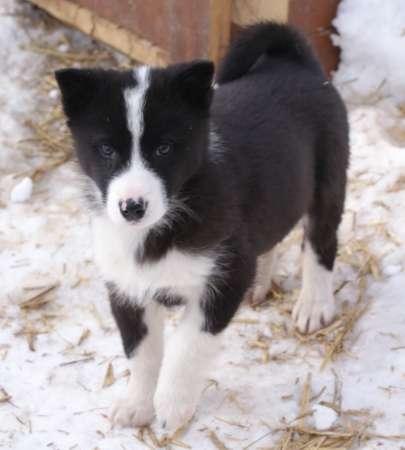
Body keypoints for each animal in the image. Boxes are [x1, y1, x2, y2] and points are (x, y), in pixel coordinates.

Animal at [56, 22, 348, 430]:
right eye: (107, 150)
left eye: (164, 149)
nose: (132, 207)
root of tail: (295, 62)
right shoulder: (126, 288)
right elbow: (141, 352)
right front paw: (137, 404)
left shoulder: (224, 277)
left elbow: (188, 347)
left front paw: (172, 406)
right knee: (269, 238)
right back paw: (260, 285)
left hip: (328, 178)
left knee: (320, 241)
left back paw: (313, 304)